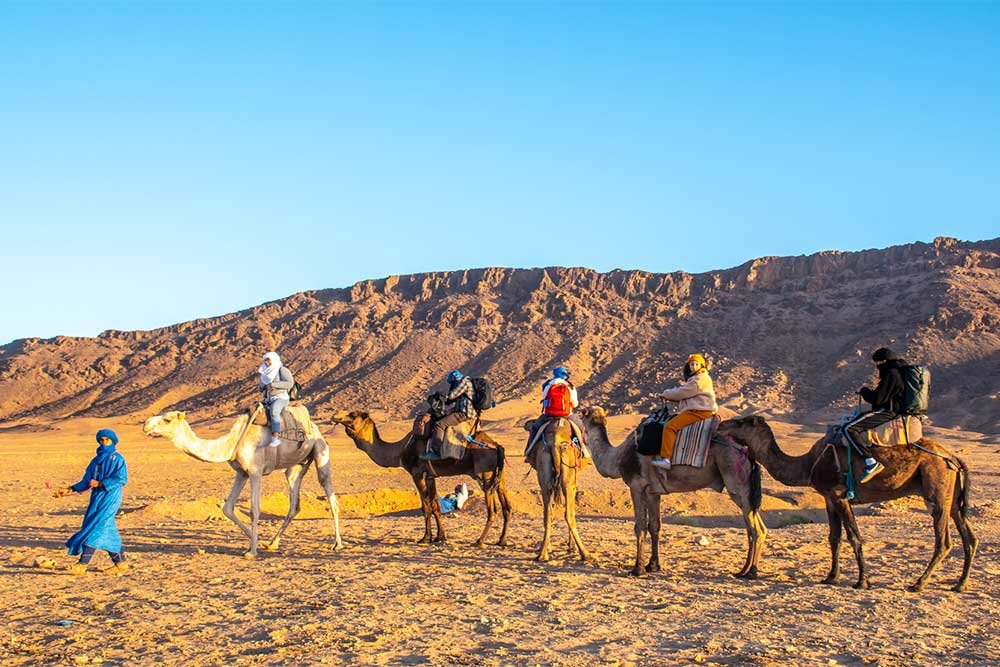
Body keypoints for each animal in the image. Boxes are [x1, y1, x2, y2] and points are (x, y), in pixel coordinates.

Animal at [141, 408, 344, 560]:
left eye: (167, 419)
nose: (145, 425)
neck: (233, 442)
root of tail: (315, 427)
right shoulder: (241, 473)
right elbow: (227, 508)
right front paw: (255, 542)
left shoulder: (255, 471)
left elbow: (254, 510)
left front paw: (252, 551)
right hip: (295, 466)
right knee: (294, 504)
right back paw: (272, 543)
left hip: (320, 451)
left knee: (331, 497)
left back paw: (337, 544)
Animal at [332, 412, 512, 548]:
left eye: (353, 415)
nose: (336, 416)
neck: (401, 450)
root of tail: (497, 446)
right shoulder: (430, 476)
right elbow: (435, 506)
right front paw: (440, 537)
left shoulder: (417, 473)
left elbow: (425, 506)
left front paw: (425, 538)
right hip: (499, 477)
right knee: (507, 507)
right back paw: (501, 540)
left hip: (484, 475)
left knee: (493, 510)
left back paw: (479, 541)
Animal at [524, 418, 584, 564]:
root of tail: (555, 443)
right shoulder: (573, 483)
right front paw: (571, 546)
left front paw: (549, 547)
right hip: (568, 474)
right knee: (569, 514)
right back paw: (586, 554)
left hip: (544, 465)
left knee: (547, 513)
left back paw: (542, 554)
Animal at [580, 408, 764, 580]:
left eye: (583, 414)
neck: (618, 457)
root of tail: (747, 451)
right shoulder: (653, 492)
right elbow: (654, 526)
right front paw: (653, 565)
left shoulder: (636, 486)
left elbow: (640, 527)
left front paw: (637, 569)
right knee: (757, 527)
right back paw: (746, 569)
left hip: (736, 480)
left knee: (754, 529)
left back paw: (749, 571)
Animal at [720, 414, 976, 592]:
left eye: (741, 422)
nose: (721, 424)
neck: (808, 464)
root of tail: (953, 458)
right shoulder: (828, 498)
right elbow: (834, 537)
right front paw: (831, 577)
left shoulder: (840, 494)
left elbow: (854, 536)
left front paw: (862, 581)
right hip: (952, 497)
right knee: (969, 537)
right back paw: (960, 584)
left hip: (936, 491)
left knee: (943, 541)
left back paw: (918, 583)